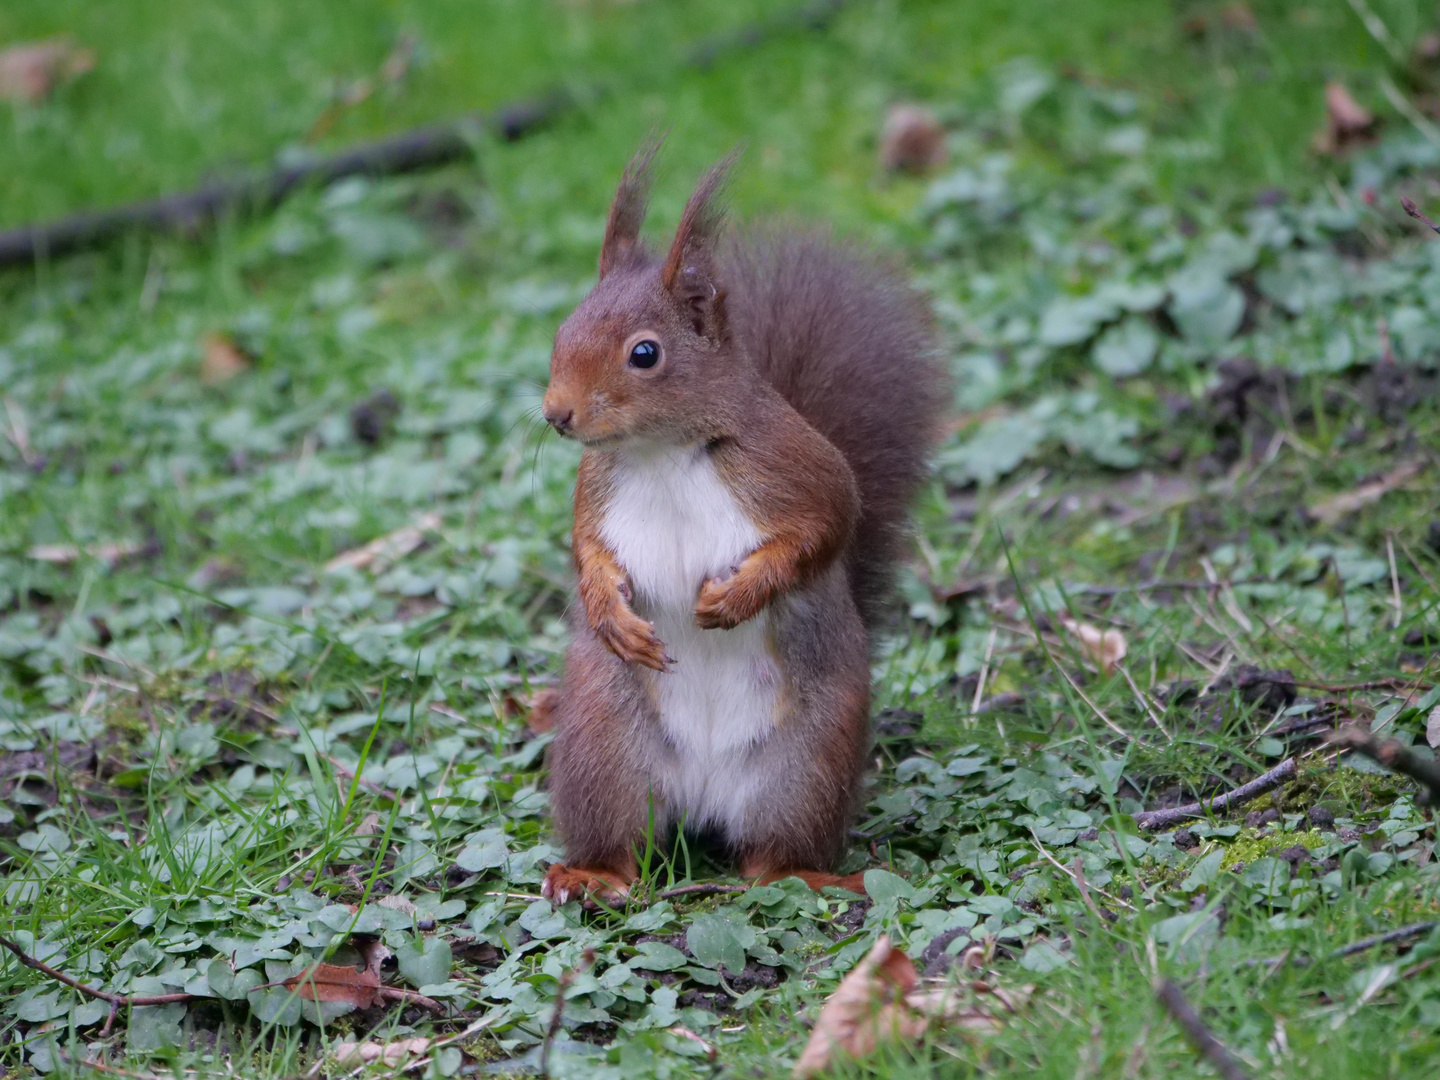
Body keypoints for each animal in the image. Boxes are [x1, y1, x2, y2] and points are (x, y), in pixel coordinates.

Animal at [535, 144, 950, 904]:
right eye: (563, 331)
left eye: (645, 353)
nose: (557, 414)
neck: (663, 452)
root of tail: (702, 798)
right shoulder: (595, 492)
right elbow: (586, 552)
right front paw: (610, 614)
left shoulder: (798, 468)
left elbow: (827, 528)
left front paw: (737, 597)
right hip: (604, 752)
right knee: (624, 847)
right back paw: (591, 874)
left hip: (805, 767)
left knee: (769, 860)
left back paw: (811, 876)